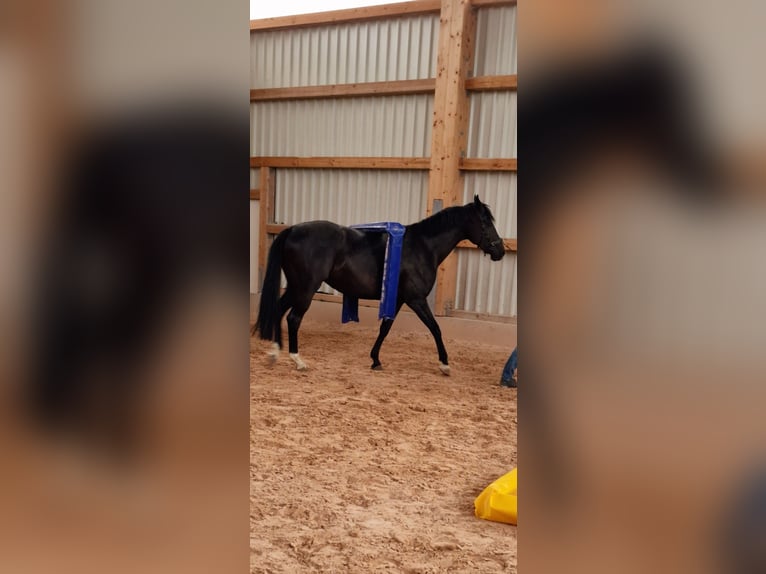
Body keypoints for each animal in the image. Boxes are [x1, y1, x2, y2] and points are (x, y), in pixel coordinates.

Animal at [253, 195, 506, 373]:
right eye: (485, 222)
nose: (500, 250)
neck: (423, 247)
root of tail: (292, 230)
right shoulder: (416, 299)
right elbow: (435, 328)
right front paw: (444, 364)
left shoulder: (399, 298)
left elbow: (386, 327)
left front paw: (375, 359)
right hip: (306, 288)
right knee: (293, 318)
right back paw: (297, 360)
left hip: (296, 287)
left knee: (278, 310)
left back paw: (275, 353)